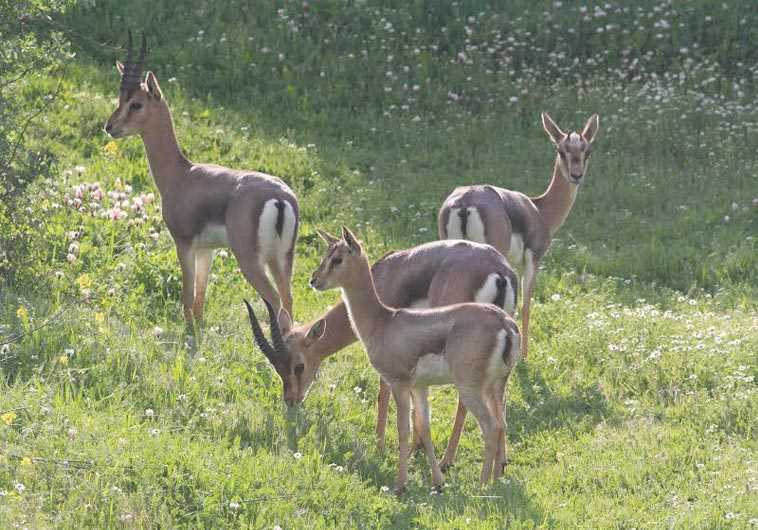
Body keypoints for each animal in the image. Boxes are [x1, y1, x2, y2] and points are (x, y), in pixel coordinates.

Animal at [104, 32, 298, 328]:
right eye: (119, 99)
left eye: (136, 103)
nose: (110, 127)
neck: (181, 174)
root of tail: (279, 197)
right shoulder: (208, 250)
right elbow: (200, 299)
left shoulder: (184, 243)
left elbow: (187, 296)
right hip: (281, 259)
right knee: (288, 300)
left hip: (251, 260)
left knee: (276, 303)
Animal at [244, 237, 518, 473]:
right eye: (277, 368)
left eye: (298, 366)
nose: (291, 400)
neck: (383, 278)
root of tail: (499, 273)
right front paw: (414, 446)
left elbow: (384, 394)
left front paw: (383, 446)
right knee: (500, 402)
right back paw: (500, 463)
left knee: (468, 402)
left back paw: (446, 461)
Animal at [308, 227, 521, 493]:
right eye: (326, 254)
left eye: (337, 259)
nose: (314, 280)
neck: (383, 321)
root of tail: (505, 324)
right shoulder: (420, 387)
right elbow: (425, 428)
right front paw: (438, 482)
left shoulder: (398, 384)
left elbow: (403, 429)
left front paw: (400, 484)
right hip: (495, 386)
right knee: (502, 422)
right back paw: (496, 478)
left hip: (470, 388)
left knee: (490, 426)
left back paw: (481, 486)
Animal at [438, 112, 599, 359]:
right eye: (561, 150)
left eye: (587, 151)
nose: (576, 175)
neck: (539, 210)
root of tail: (465, 202)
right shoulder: (533, 259)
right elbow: (526, 304)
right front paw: (524, 355)